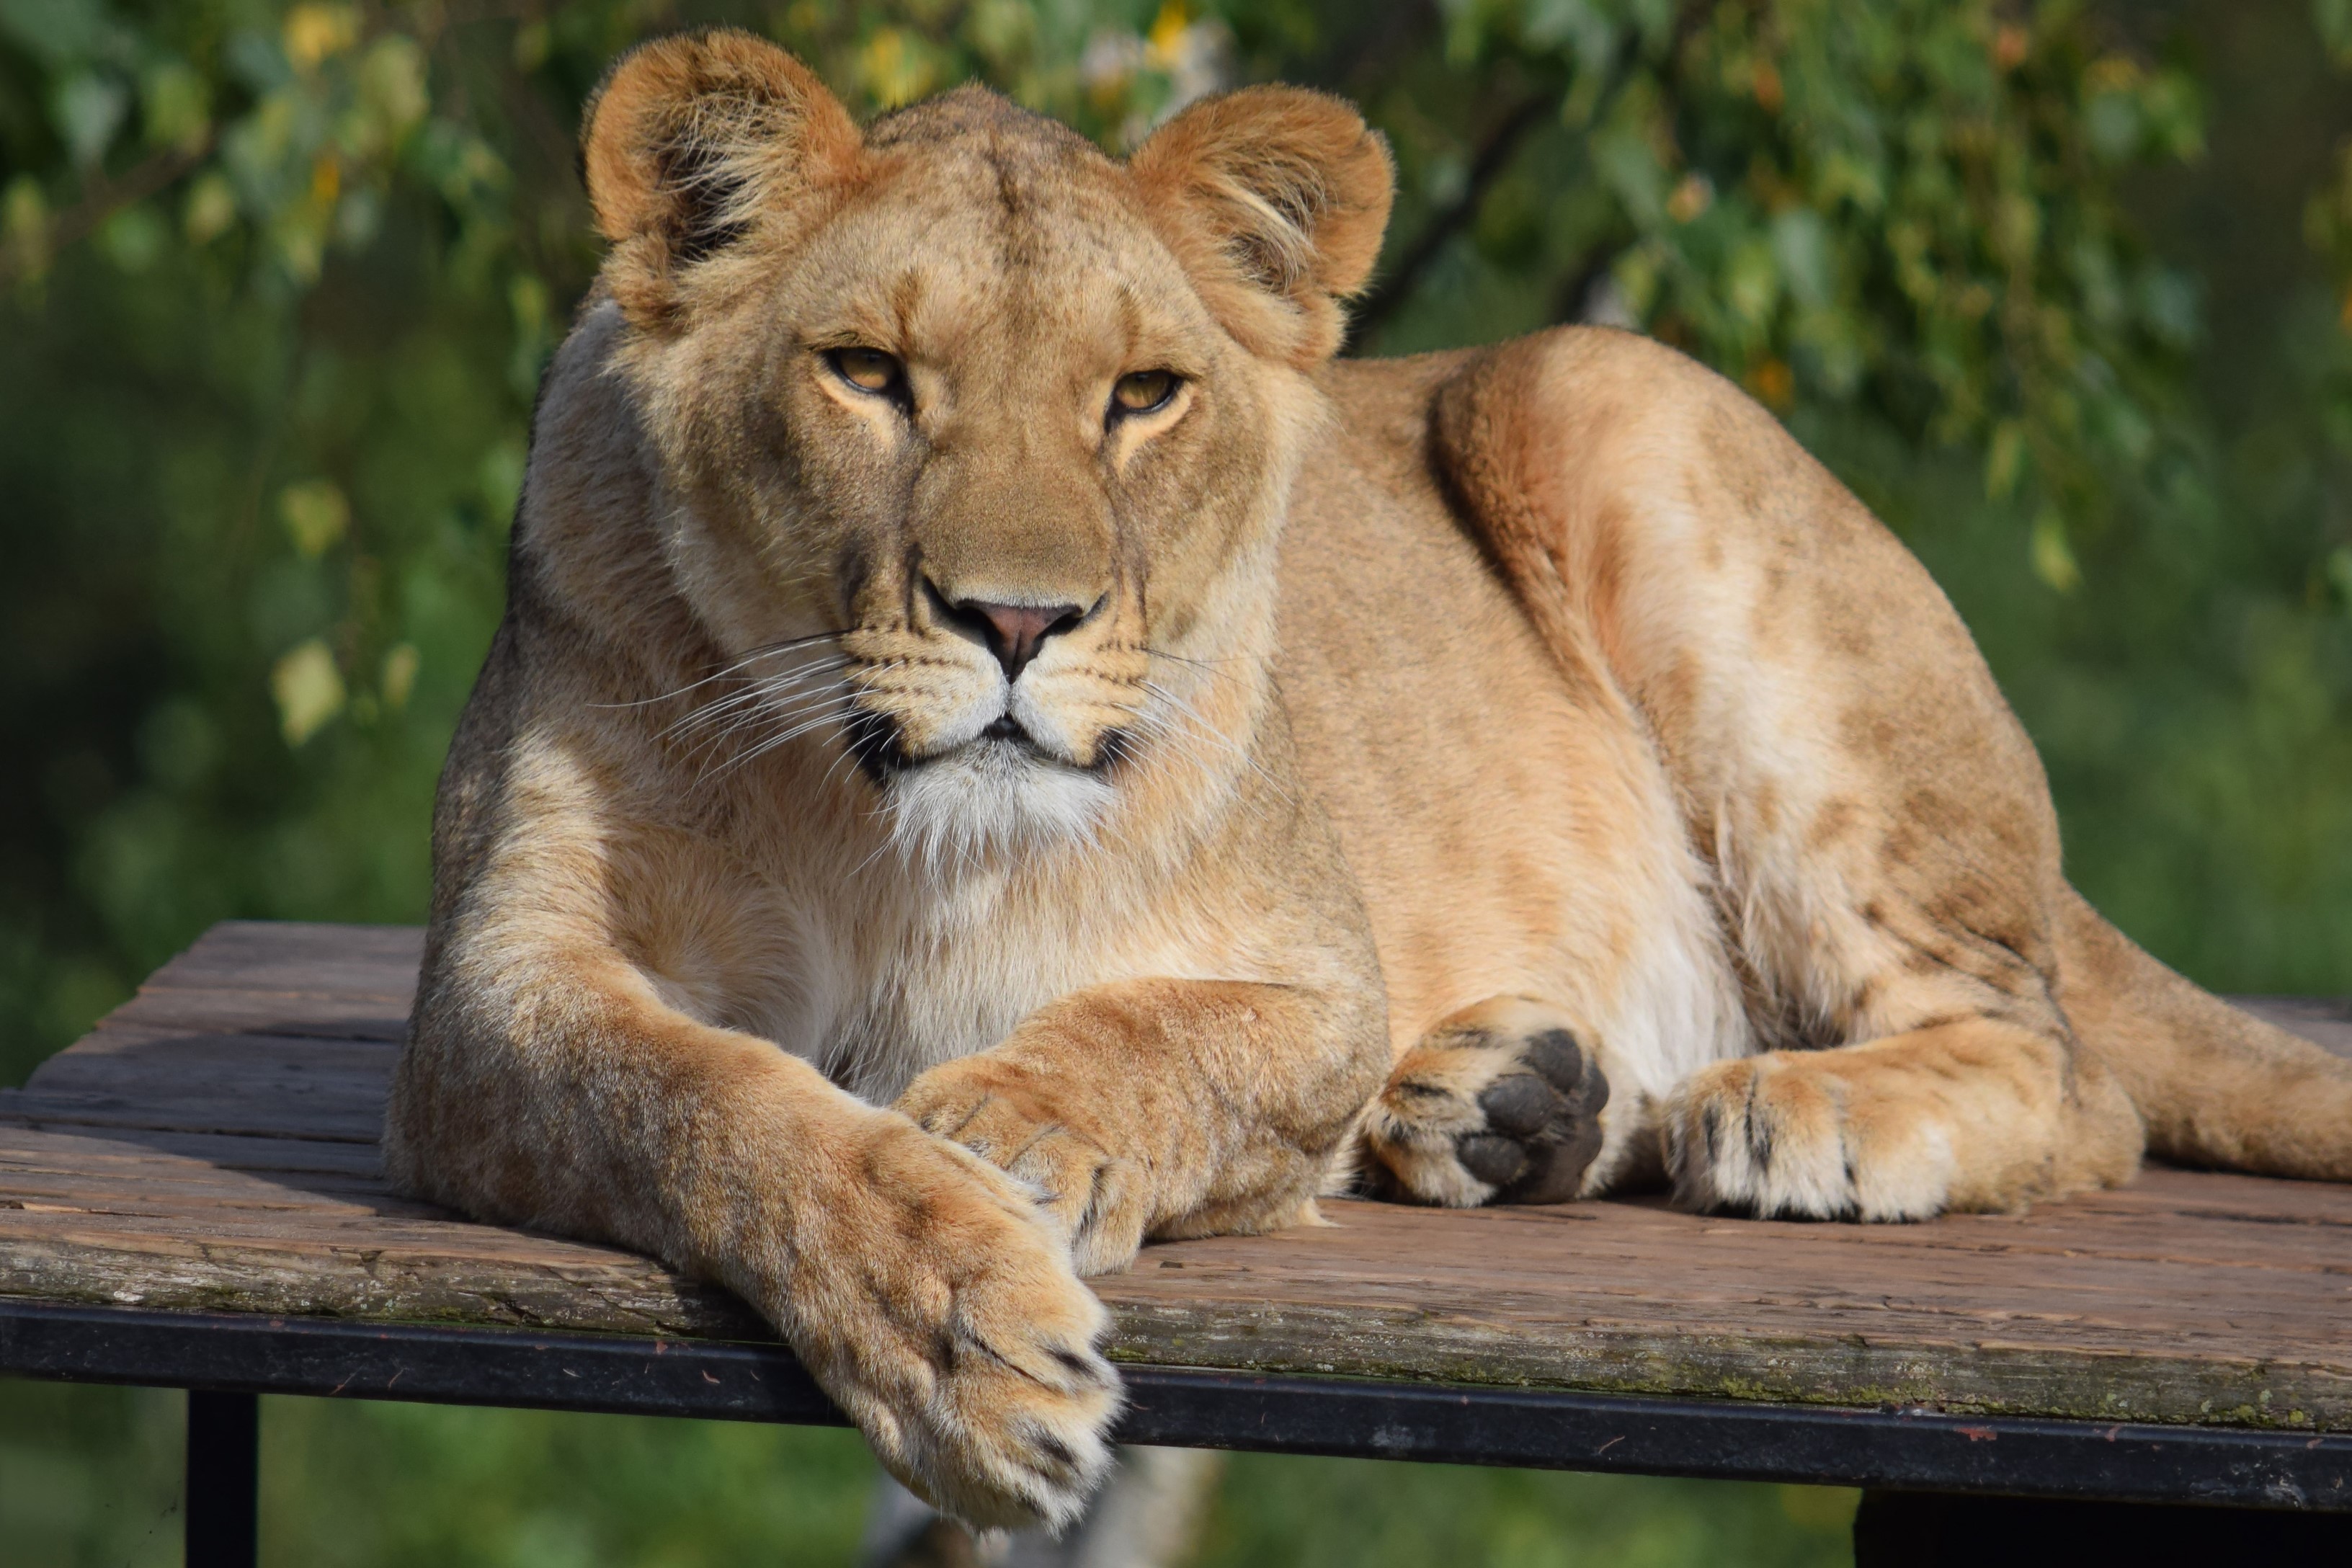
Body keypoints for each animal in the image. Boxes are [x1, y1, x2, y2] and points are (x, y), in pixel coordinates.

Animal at [384, 28, 2352, 1532]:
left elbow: (1162, 1035)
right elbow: (718, 1099)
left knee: (2069, 1072)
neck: (880, 826)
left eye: (1141, 395)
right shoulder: (493, 996)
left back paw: (1786, 1111)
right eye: (866, 372)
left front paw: (1012, 1135)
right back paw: (1514, 1103)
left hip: (1600, 391)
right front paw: (953, 1312)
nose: (1018, 618)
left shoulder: (1313, 967)